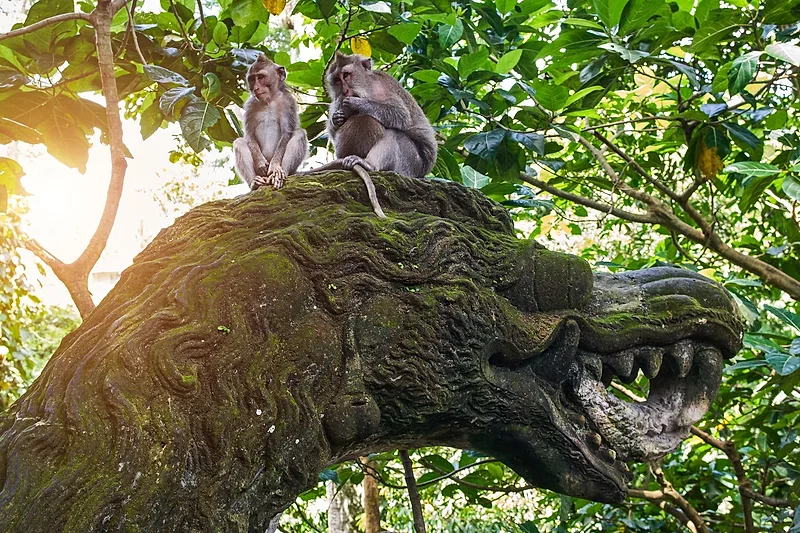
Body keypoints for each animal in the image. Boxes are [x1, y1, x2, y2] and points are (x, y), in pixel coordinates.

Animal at [233, 54, 308, 190]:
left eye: (261, 77)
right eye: (252, 79)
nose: (256, 88)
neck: (269, 100)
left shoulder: (288, 102)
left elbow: (286, 133)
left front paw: (274, 167)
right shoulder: (250, 105)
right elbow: (249, 135)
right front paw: (261, 163)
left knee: (299, 133)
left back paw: (278, 175)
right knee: (239, 142)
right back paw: (255, 183)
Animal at [301, 53, 438, 217]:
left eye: (346, 75)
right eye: (337, 80)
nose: (345, 91)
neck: (367, 87)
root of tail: (423, 173)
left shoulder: (383, 86)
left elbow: (401, 115)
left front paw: (357, 104)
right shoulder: (337, 101)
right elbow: (334, 130)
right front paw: (336, 119)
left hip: (411, 165)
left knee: (392, 133)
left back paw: (368, 164)